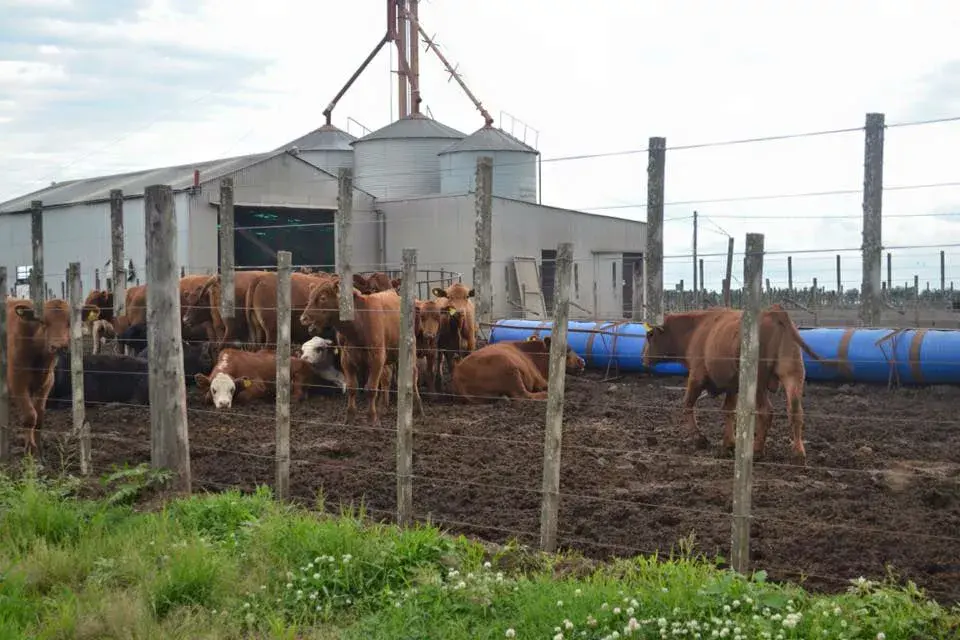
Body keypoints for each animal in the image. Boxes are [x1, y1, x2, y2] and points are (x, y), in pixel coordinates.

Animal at [6, 298, 97, 452]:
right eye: (43, 321)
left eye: (69, 322)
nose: (59, 346)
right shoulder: (16, 381)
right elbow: (30, 416)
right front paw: (29, 448)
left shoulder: (47, 382)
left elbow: (39, 415)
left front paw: (38, 447)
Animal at [300, 282, 420, 424]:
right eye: (310, 297)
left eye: (323, 298)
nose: (303, 318)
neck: (358, 326)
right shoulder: (346, 359)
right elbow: (352, 387)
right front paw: (350, 416)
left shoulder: (377, 358)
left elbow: (371, 388)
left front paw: (372, 417)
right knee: (386, 377)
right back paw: (383, 407)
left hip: (409, 350)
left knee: (413, 375)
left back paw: (418, 407)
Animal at [452, 336, 584, 400]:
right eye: (567, 350)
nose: (582, 361)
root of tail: (458, 370)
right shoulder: (540, 381)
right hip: (510, 370)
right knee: (524, 395)